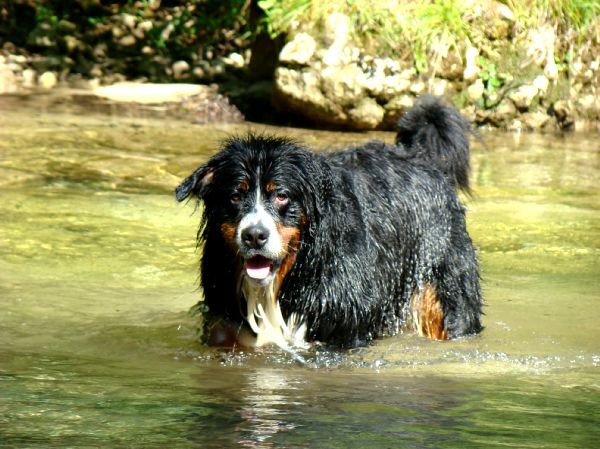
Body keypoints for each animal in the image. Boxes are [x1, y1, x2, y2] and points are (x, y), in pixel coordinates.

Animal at [177, 96, 482, 350]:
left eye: (281, 195)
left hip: (445, 294)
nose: (254, 235)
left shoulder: (341, 326)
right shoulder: (225, 325)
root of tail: (421, 156)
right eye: (236, 196)